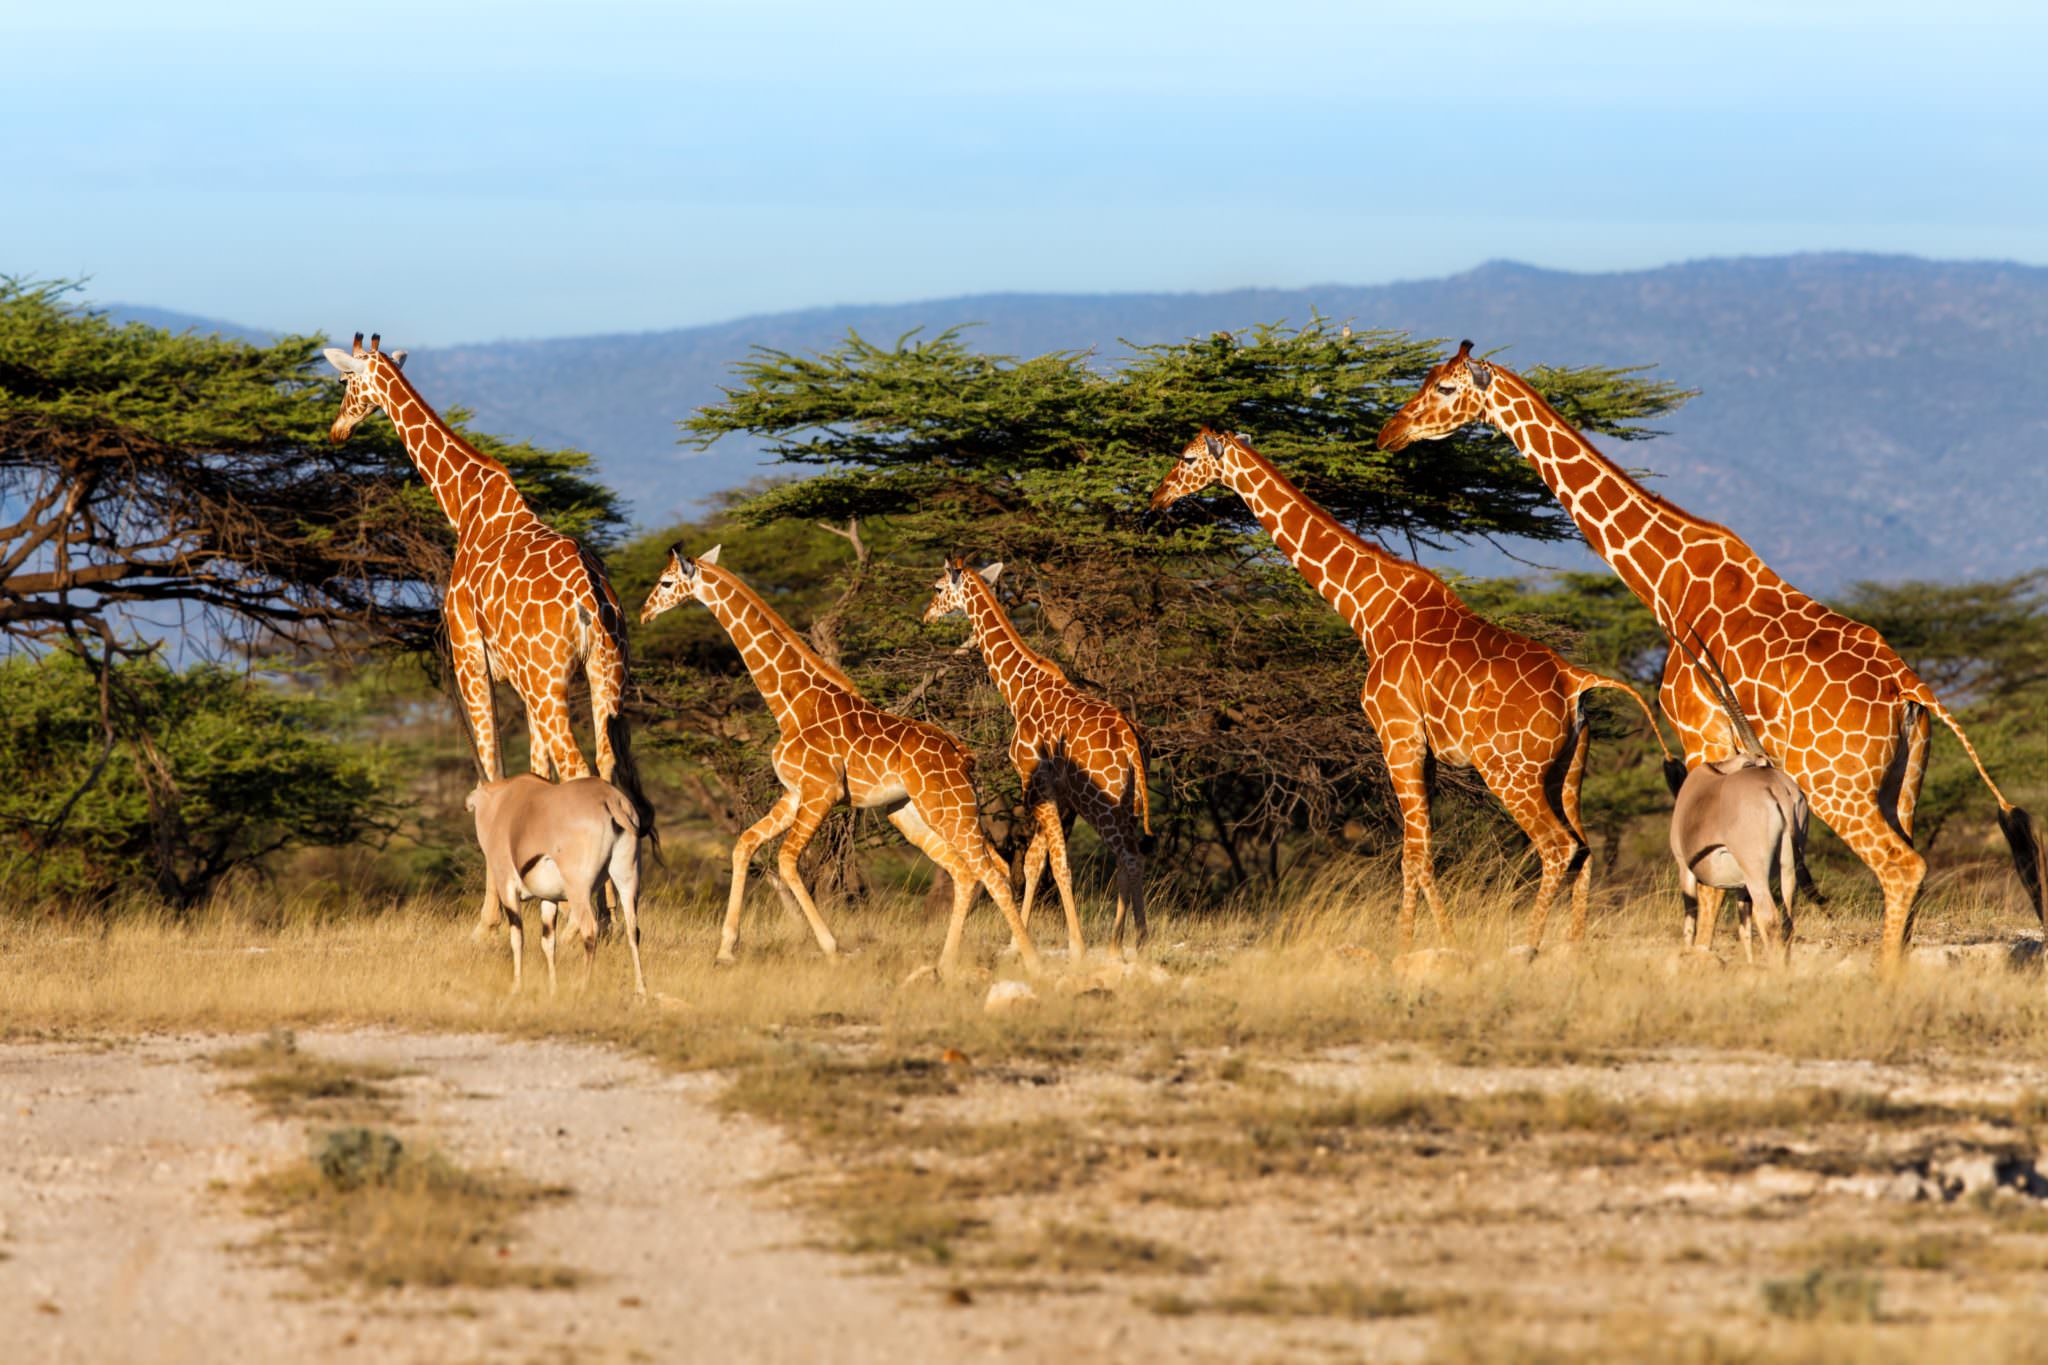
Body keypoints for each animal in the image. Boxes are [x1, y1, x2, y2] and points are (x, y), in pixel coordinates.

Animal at [639, 544, 1042, 976]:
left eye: (666, 582)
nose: (644, 613)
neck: (791, 705)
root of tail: (964, 755)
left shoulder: (822, 791)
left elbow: (786, 860)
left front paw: (832, 948)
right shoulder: (795, 793)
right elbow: (744, 843)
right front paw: (726, 948)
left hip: (948, 809)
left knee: (993, 872)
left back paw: (1030, 961)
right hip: (911, 813)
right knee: (968, 871)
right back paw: (946, 963)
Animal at [922, 557, 1153, 960]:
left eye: (938, 588)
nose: (926, 616)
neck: (1017, 690)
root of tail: (1129, 740)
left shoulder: (1033, 780)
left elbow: (1055, 865)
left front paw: (1074, 944)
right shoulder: (1052, 791)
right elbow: (1035, 862)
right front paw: (1017, 940)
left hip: (1101, 801)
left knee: (1128, 856)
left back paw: (1130, 942)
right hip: (1123, 800)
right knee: (1130, 856)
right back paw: (1121, 942)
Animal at [1148, 429, 1673, 952]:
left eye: (1188, 458)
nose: (1157, 497)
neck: (1368, 608)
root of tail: (1574, 681)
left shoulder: (1397, 737)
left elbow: (1412, 854)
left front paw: (1413, 946)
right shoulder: (1427, 752)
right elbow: (1423, 850)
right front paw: (1438, 939)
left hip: (1510, 771)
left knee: (1558, 846)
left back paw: (1528, 946)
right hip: (1568, 769)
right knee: (1584, 848)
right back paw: (1574, 949)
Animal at [1379, 342, 2044, 967]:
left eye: (1443, 387)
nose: (1391, 432)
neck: (1667, 581)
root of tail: (1911, 686)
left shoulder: (1699, 730)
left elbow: (1709, 875)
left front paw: (1701, 960)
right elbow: (1745, 892)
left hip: (1838, 783)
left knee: (1902, 868)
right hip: (1900, 783)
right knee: (1907, 867)